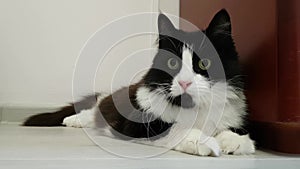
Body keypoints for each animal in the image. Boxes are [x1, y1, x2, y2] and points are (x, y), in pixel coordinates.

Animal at [23, 9, 254, 156]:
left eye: (204, 63)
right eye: (172, 63)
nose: (185, 83)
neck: (193, 108)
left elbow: (229, 130)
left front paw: (235, 141)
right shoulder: (138, 125)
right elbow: (175, 128)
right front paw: (202, 141)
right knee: (92, 112)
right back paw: (72, 120)